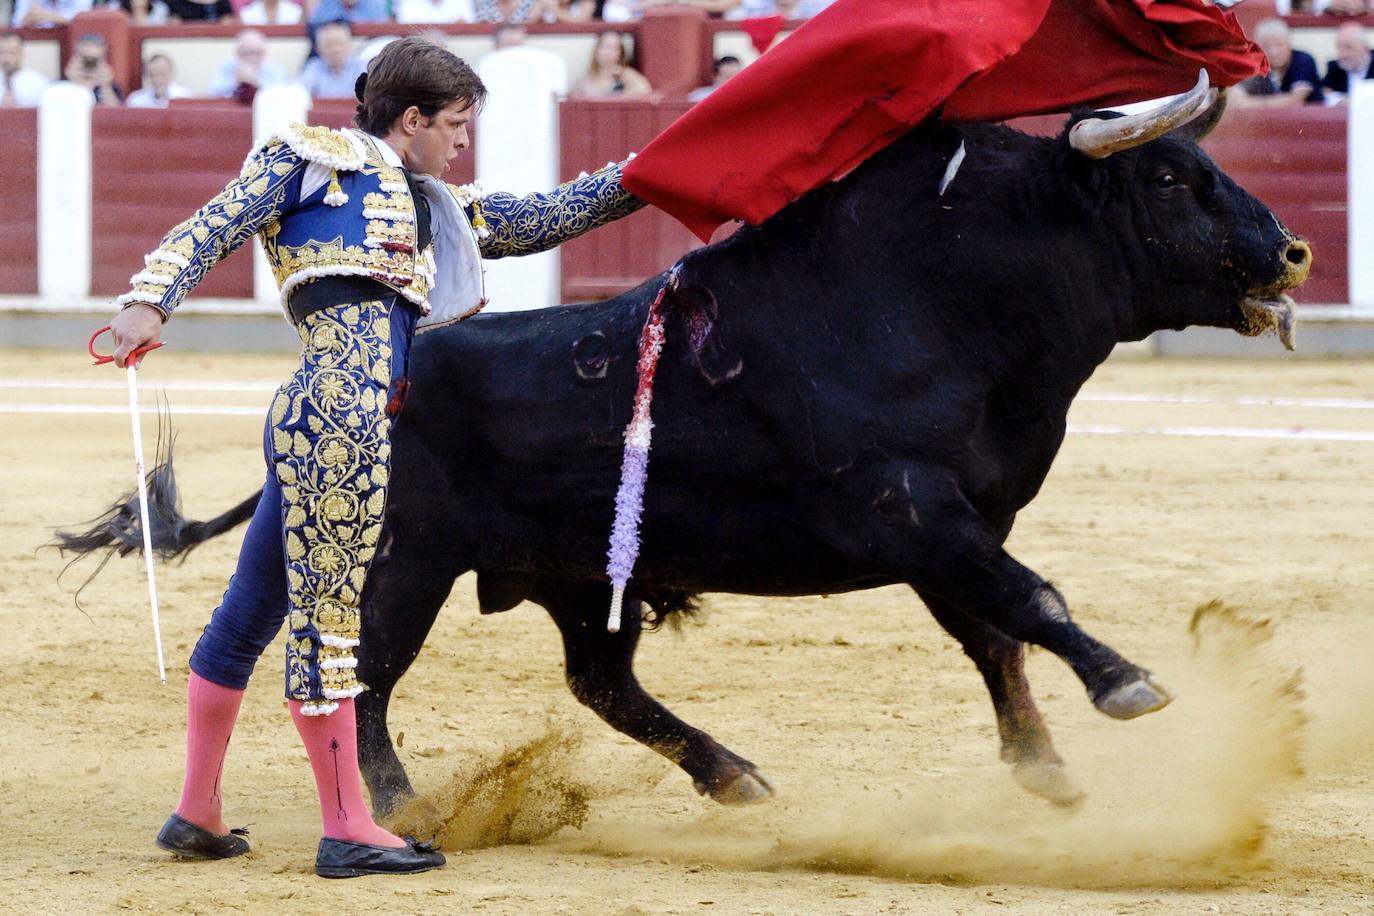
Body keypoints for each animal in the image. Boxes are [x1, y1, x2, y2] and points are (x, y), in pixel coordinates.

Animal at [59, 107, 1313, 818]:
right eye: (1168, 179)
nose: (1290, 250)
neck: (942, 298)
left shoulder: (948, 529)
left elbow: (995, 630)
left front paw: (1047, 769)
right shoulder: (911, 510)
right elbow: (1031, 599)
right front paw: (1129, 685)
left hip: (579, 582)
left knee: (600, 681)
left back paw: (733, 775)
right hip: (400, 562)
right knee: (359, 673)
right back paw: (401, 806)